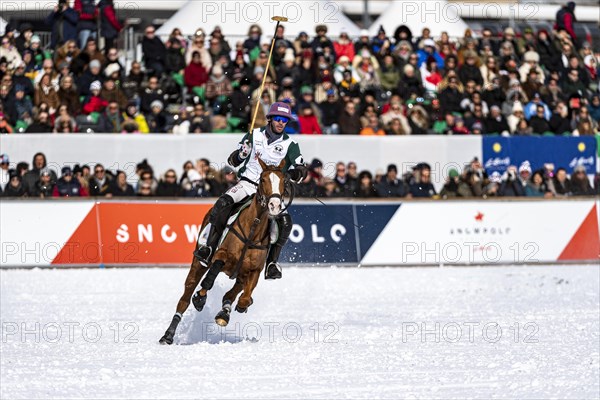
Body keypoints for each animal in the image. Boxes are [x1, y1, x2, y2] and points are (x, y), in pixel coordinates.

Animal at [161, 158, 288, 346]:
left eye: (284, 181)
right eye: (263, 179)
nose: (275, 205)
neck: (254, 228)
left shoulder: (254, 270)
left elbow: (245, 296)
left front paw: (241, 305)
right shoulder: (221, 255)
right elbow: (209, 279)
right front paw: (200, 298)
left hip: (240, 274)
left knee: (232, 292)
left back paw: (224, 312)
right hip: (199, 263)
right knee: (185, 298)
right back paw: (168, 334)